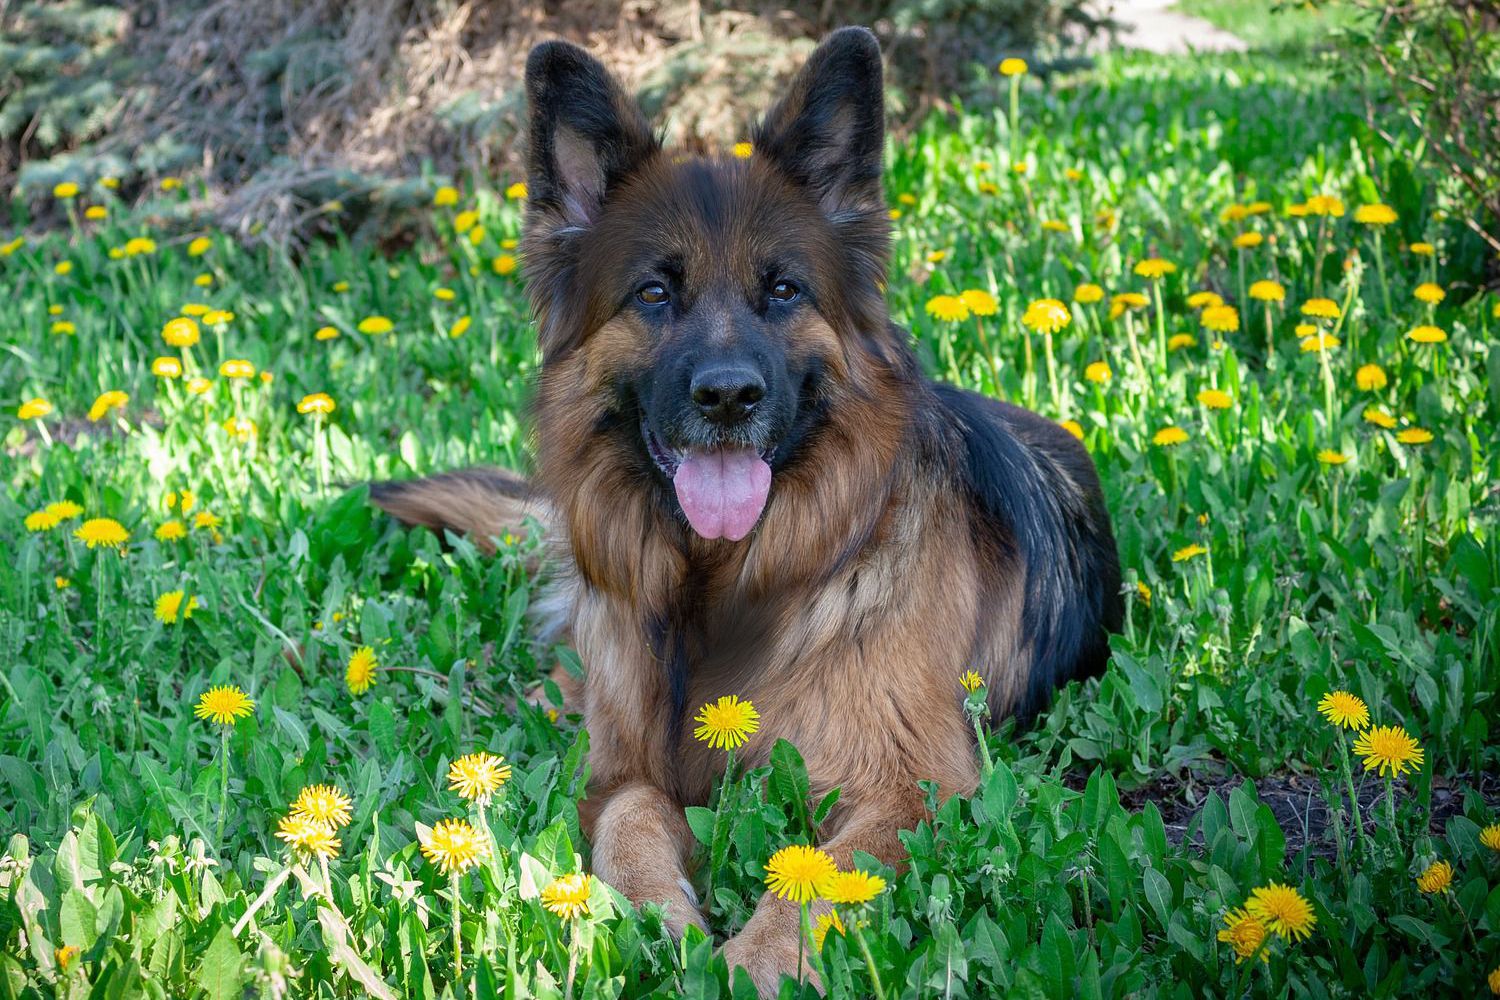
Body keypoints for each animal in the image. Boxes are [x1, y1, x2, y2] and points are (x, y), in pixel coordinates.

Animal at [372, 27, 1128, 995]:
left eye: (783, 291)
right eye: (654, 293)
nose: (728, 397)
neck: (728, 584)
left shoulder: (912, 786)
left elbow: (820, 878)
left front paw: (748, 963)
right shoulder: (625, 768)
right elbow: (628, 828)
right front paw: (654, 923)